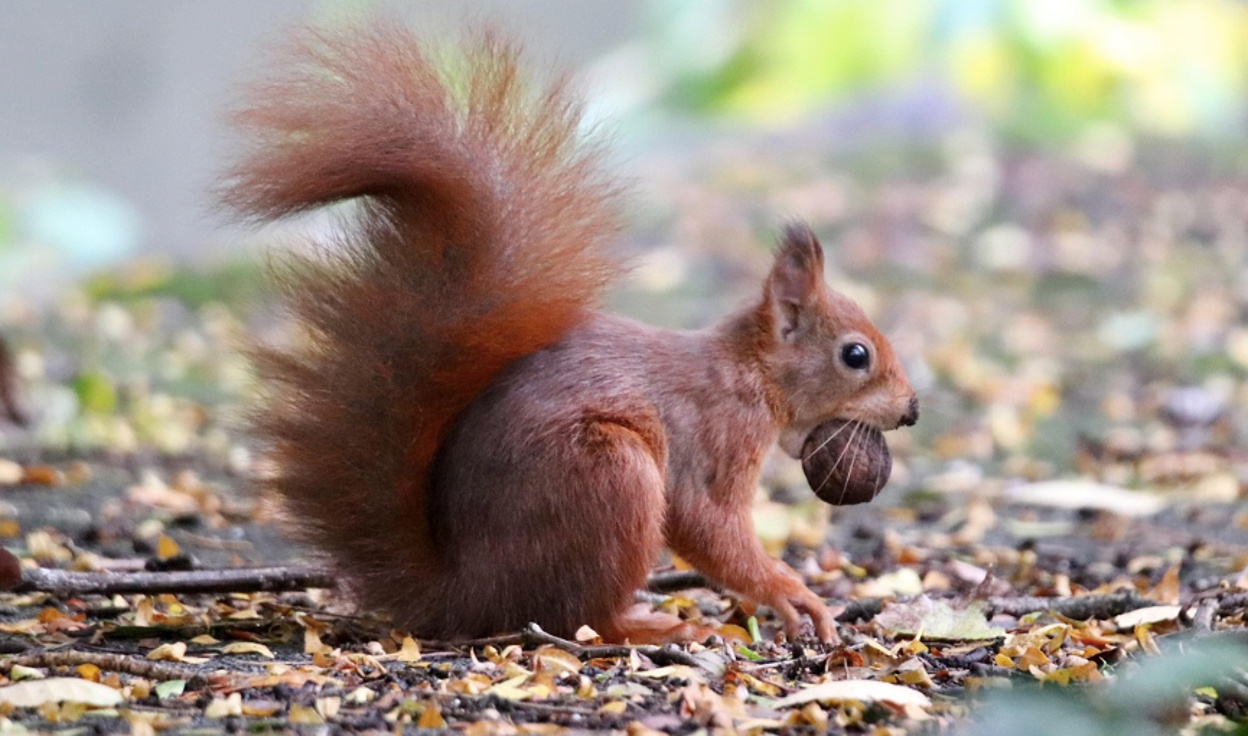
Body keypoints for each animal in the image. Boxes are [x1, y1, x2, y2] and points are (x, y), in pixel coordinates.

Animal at [221, 22, 918, 645]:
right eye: (855, 355)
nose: (911, 410)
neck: (749, 372)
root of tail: (464, 592)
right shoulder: (715, 440)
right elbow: (707, 525)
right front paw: (792, 595)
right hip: (609, 478)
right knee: (580, 617)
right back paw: (653, 626)